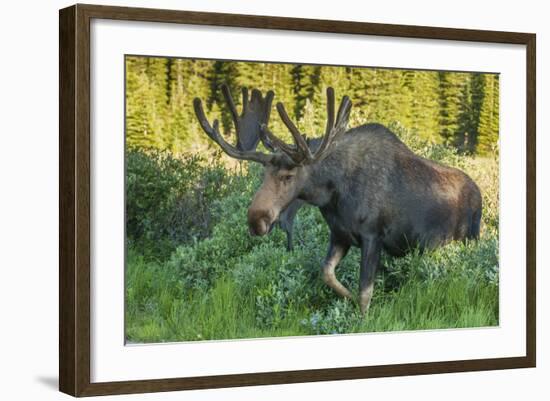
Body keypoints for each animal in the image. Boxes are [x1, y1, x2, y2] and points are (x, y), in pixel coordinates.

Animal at [194, 86, 484, 314]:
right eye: (264, 173)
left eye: (288, 176)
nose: (256, 220)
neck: (333, 194)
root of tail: (481, 194)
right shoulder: (340, 235)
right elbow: (327, 273)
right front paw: (346, 297)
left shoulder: (373, 236)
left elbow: (365, 292)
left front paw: (361, 317)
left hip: (469, 238)